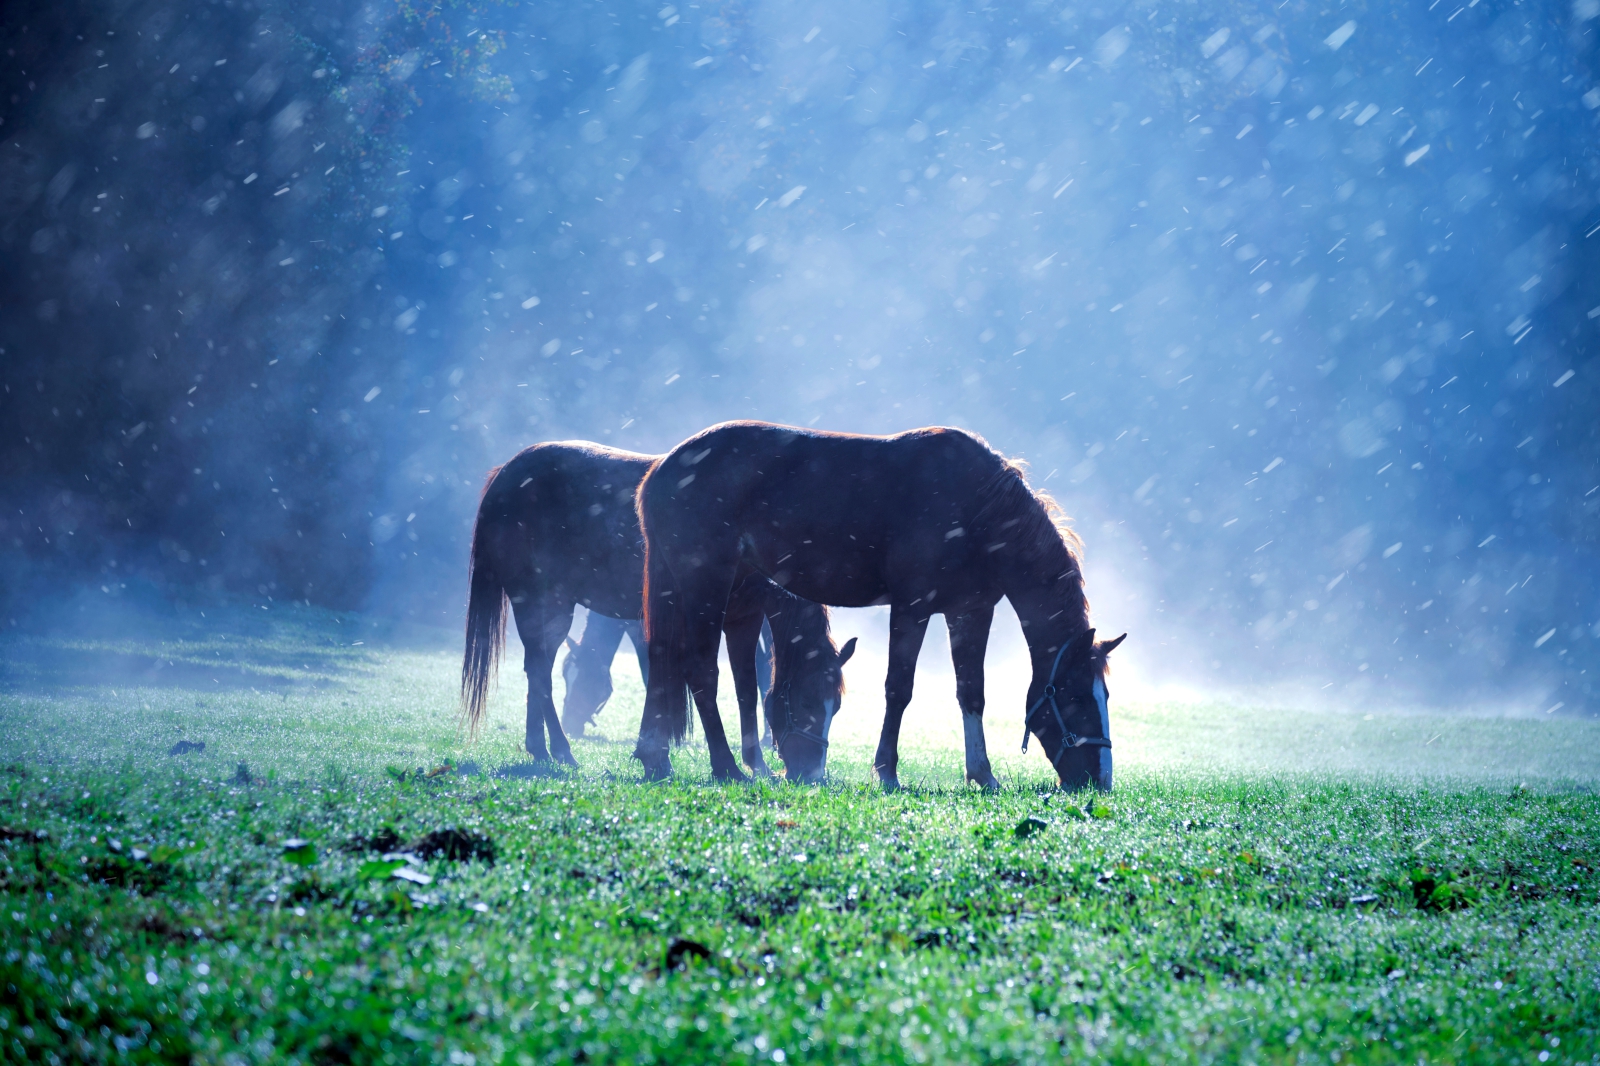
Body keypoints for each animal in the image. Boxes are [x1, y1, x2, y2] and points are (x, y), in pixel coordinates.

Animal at [457, 435, 857, 777]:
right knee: (539, 671)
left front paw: (754, 763)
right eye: (806, 703)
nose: (811, 774)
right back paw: (560, 749)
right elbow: (661, 674)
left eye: (835, 707)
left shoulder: (743, 616)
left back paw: (541, 749)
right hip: (540, 601)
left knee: (537, 667)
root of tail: (505, 475)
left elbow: (745, 687)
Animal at [630, 422, 1120, 787]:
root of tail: (661, 469)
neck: (977, 507)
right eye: (1077, 696)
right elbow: (898, 689)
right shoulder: (912, 607)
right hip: (706, 587)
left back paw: (660, 758)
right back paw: (726, 767)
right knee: (700, 671)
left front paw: (982, 774)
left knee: (669, 662)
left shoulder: (970, 612)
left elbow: (972, 693)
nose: (1099, 780)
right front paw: (887, 771)